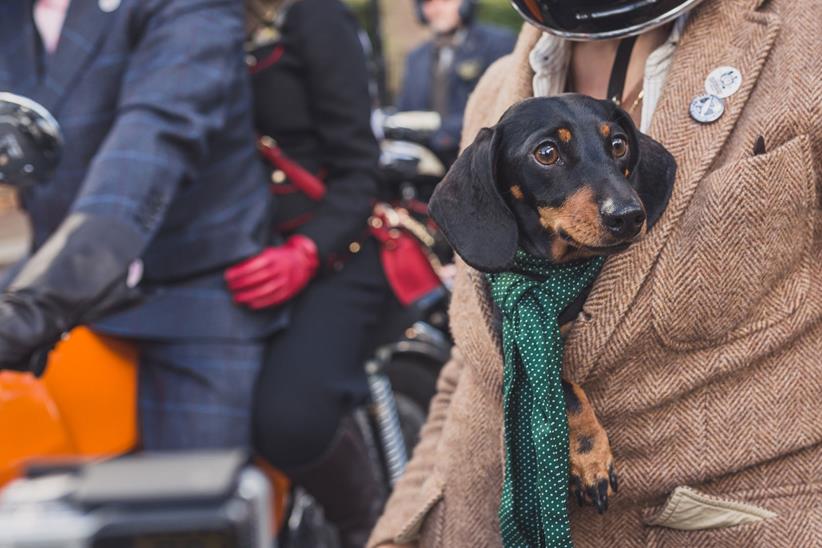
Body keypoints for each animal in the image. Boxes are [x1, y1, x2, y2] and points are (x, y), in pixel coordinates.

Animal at [432, 95, 676, 512]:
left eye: (618, 144)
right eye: (546, 153)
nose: (630, 216)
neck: (554, 272)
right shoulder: (519, 336)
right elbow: (563, 387)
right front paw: (590, 458)